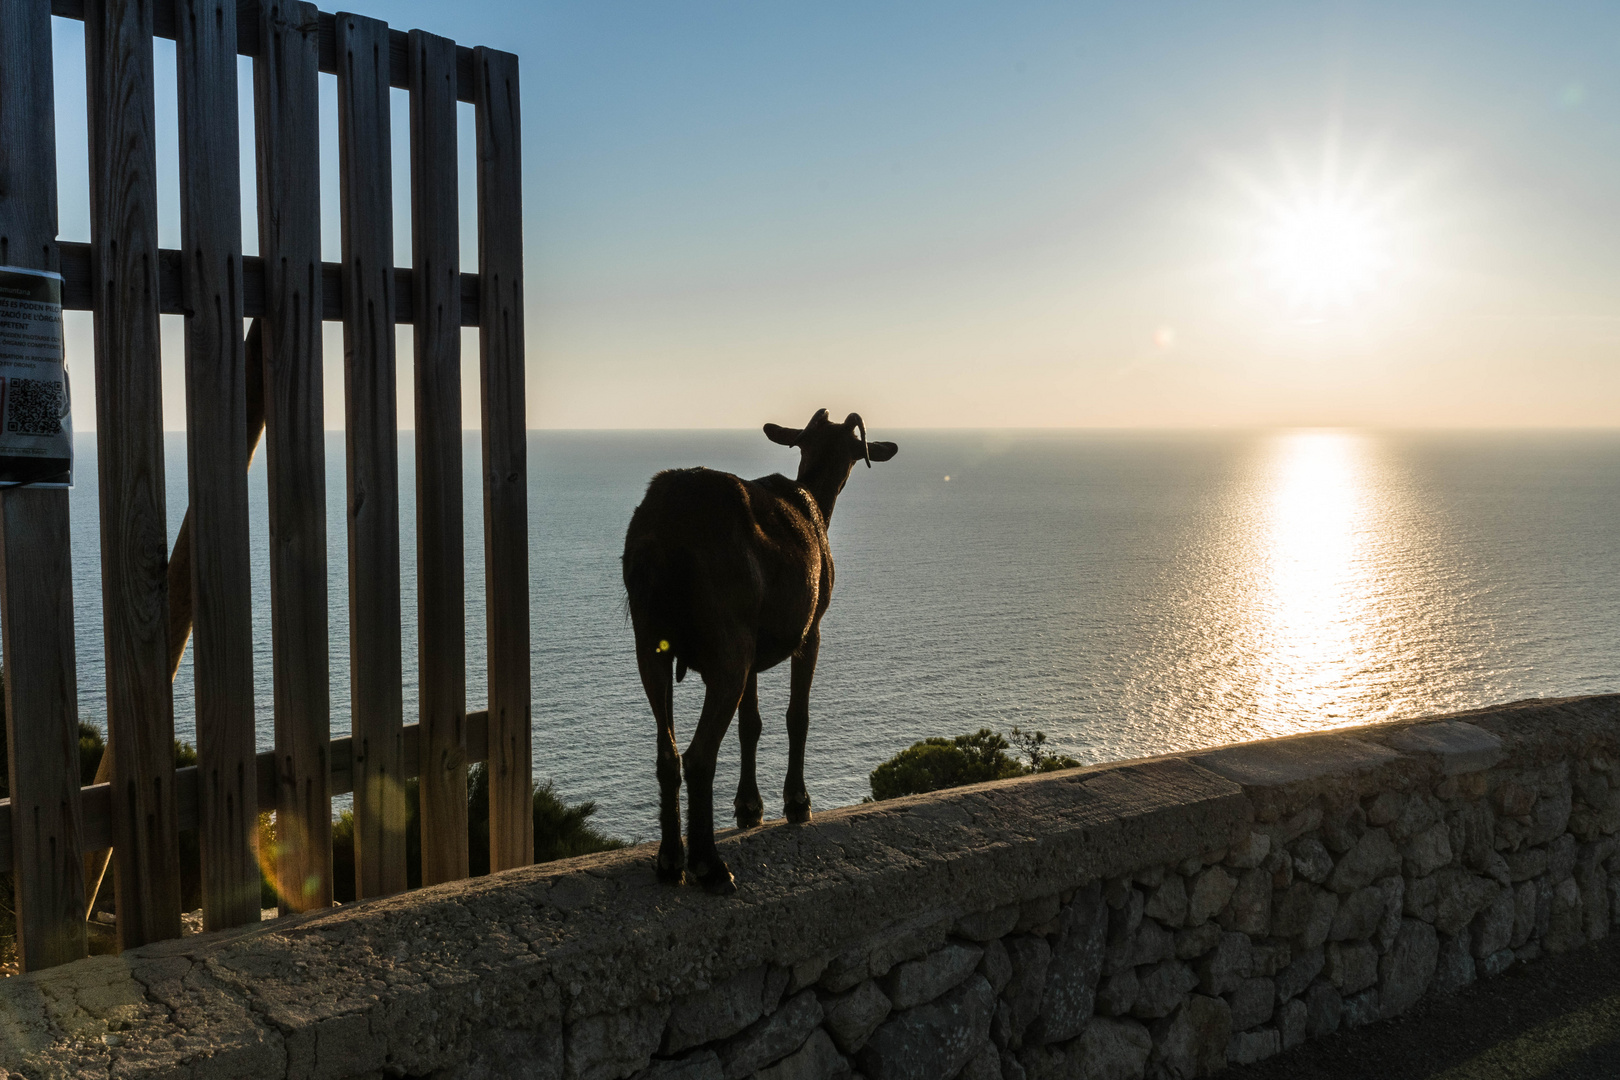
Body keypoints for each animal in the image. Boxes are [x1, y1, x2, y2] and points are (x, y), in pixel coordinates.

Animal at [618, 409, 900, 893]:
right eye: (854, 449)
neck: (814, 503)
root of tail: (663, 541)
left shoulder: (752, 648)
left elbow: (750, 724)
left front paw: (749, 807)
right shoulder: (810, 630)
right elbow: (796, 716)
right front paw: (797, 803)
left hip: (651, 642)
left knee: (667, 753)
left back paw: (670, 861)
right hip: (725, 643)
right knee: (698, 756)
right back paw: (710, 865)